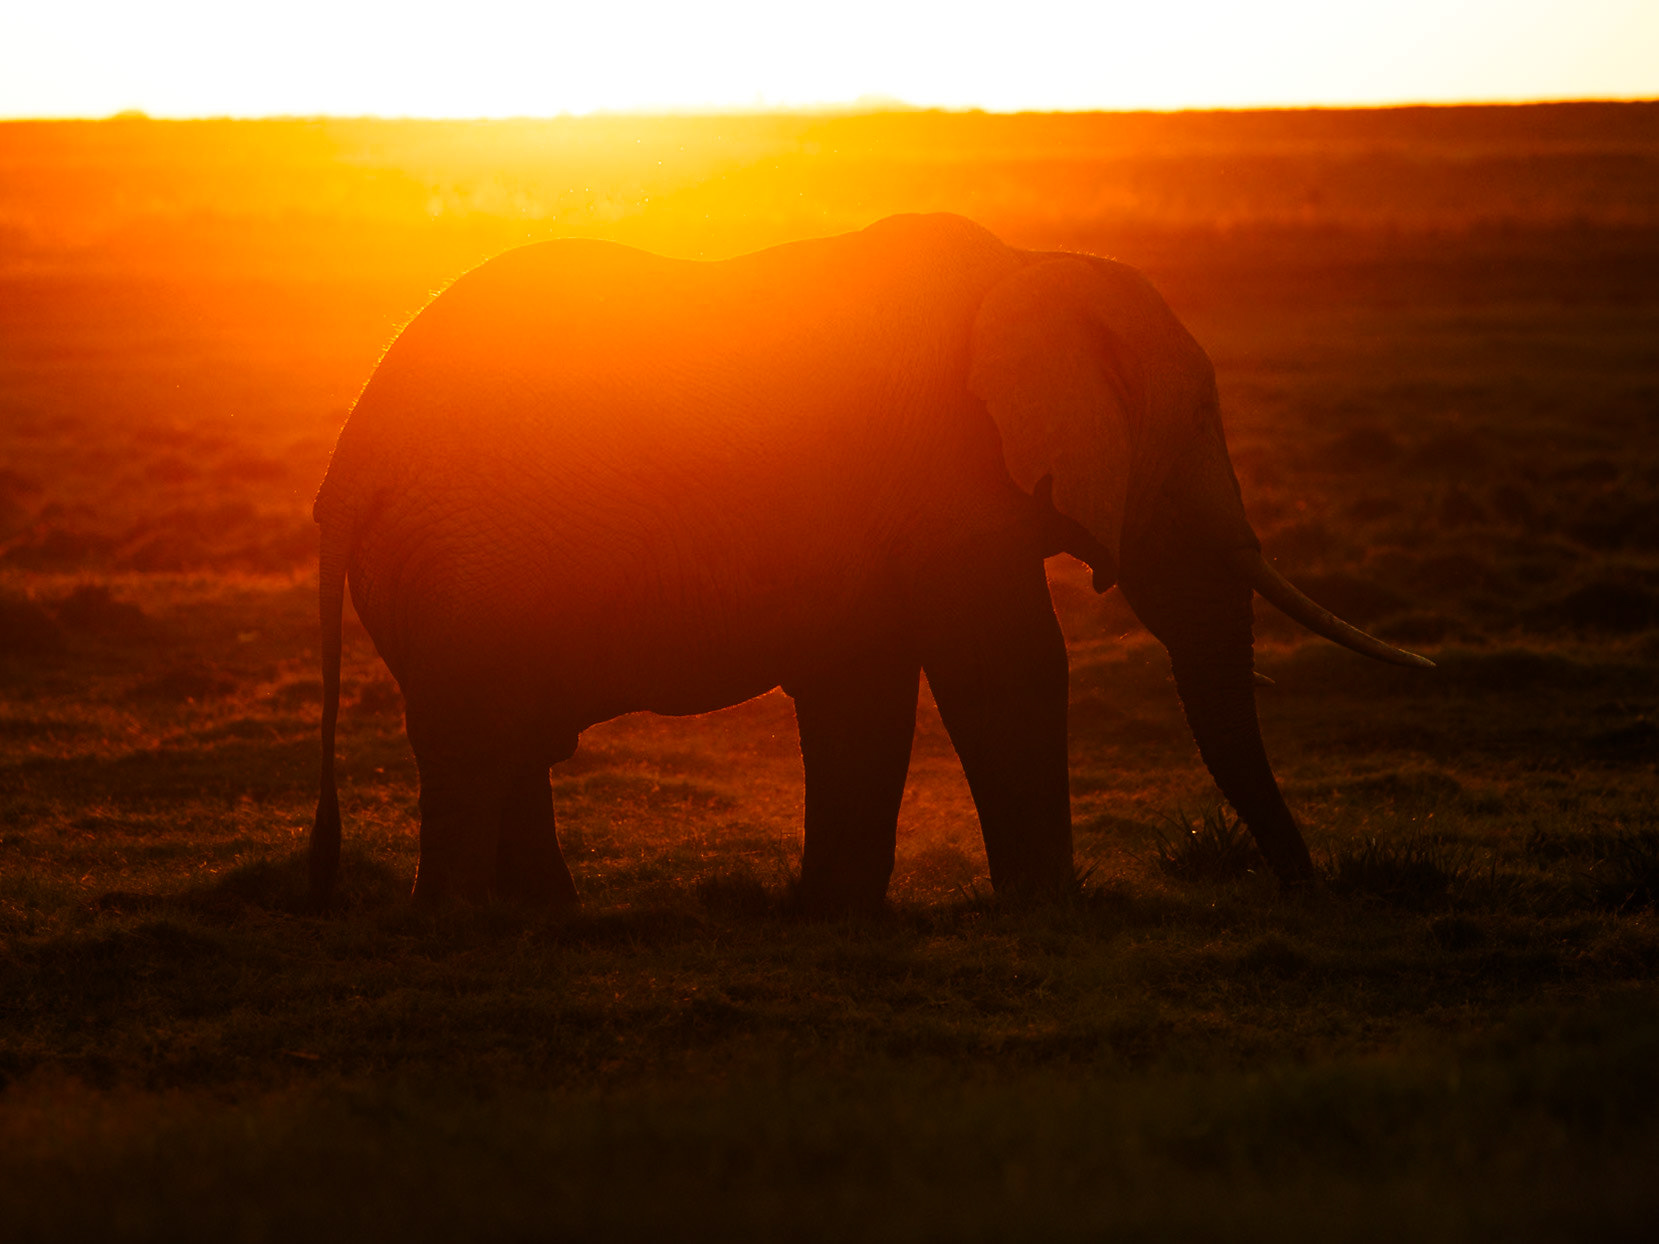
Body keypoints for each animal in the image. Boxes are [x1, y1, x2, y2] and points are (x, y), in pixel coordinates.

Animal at [308, 212, 1430, 913]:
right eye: (1198, 420)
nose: (1305, 892)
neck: (1025, 265)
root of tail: (344, 473)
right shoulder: (945, 467)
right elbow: (1005, 667)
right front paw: (1048, 911)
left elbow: (864, 690)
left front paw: (831, 911)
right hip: (465, 568)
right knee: (480, 741)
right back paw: (465, 922)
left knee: (507, 742)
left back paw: (547, 917)